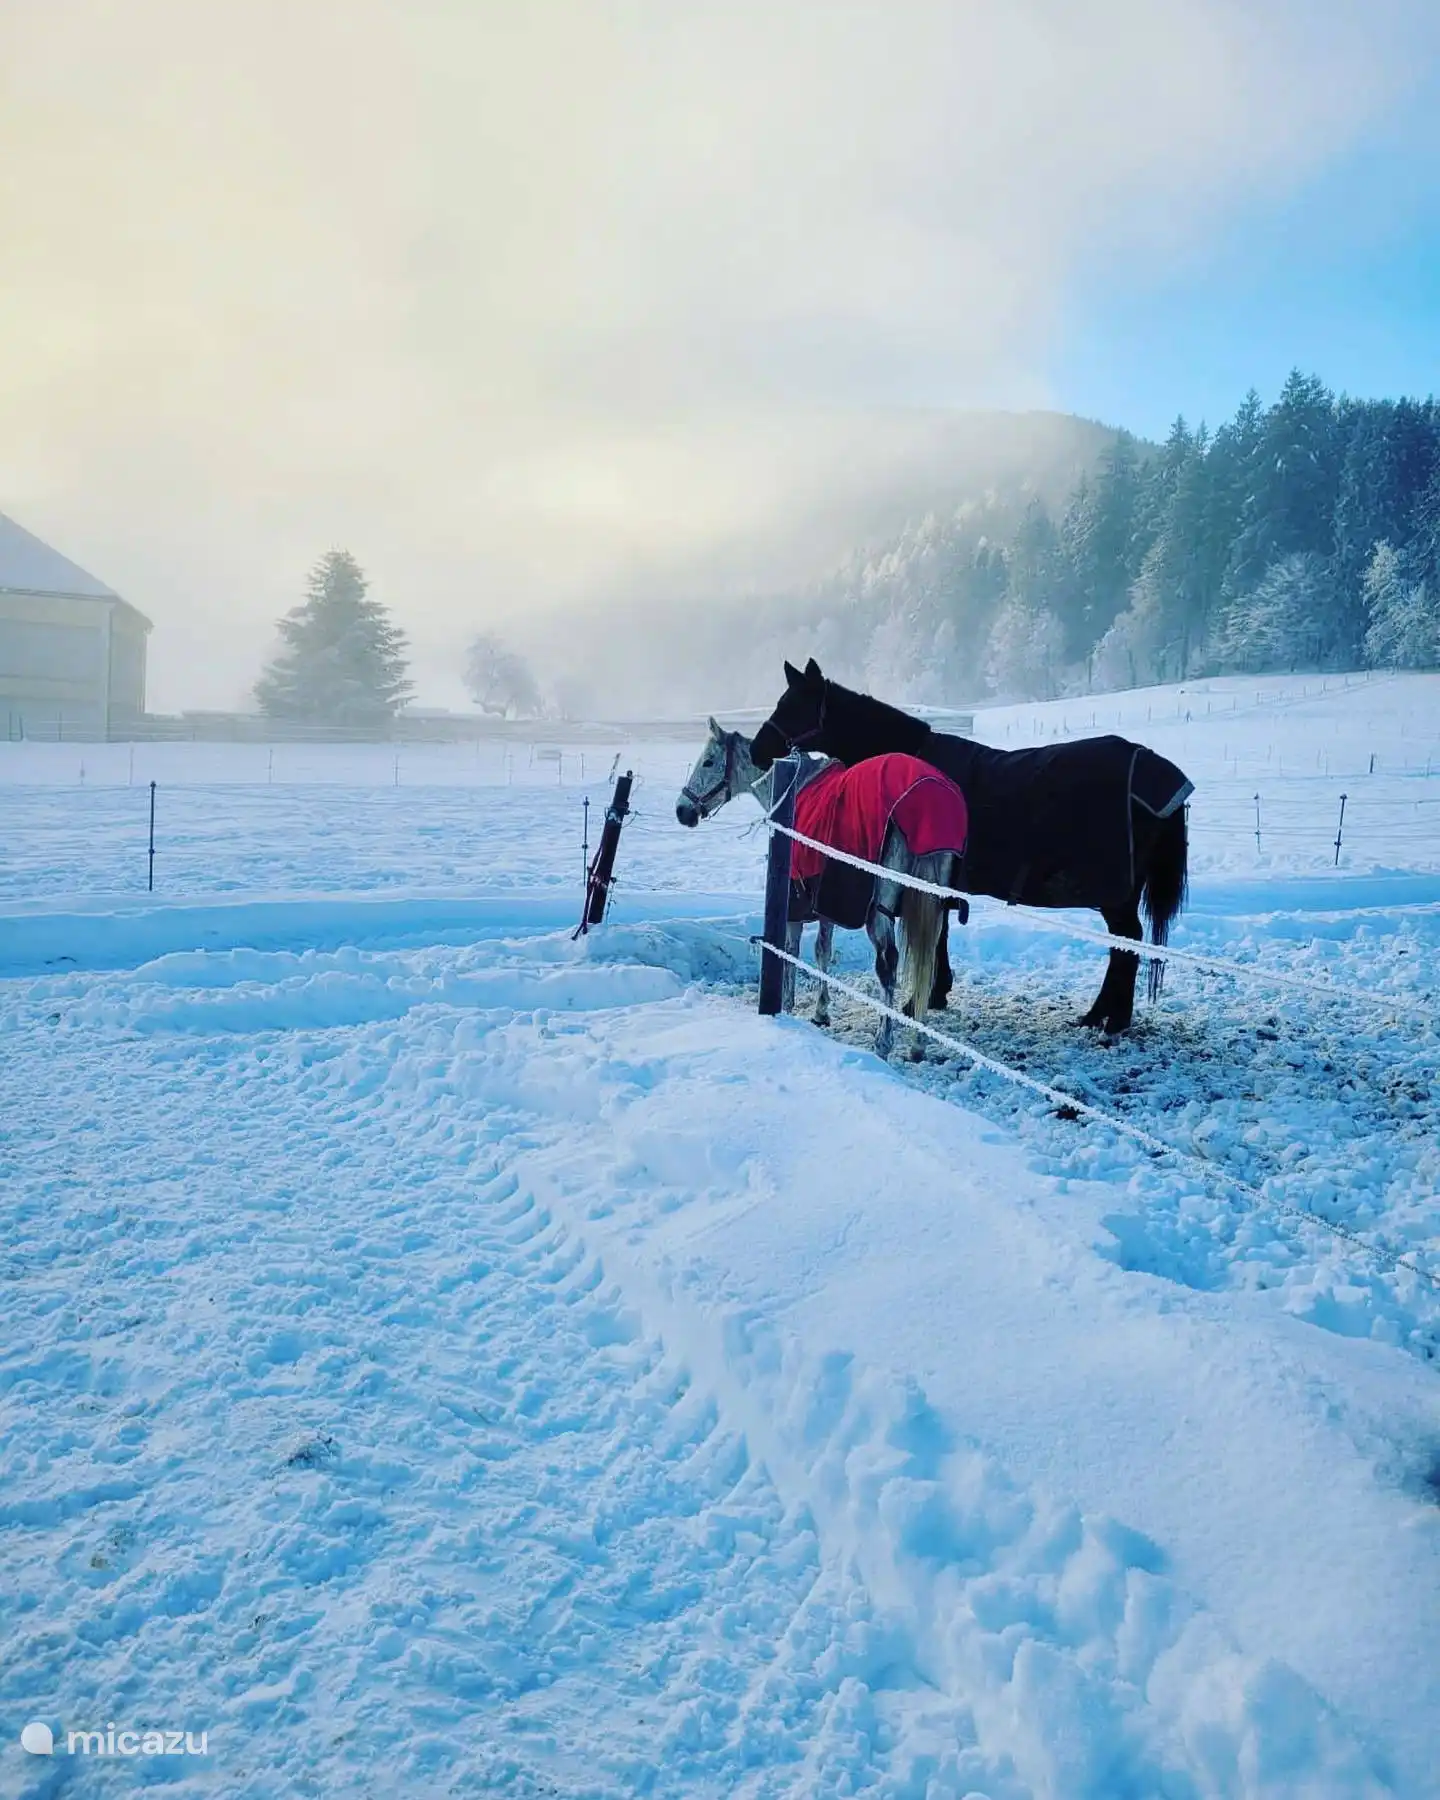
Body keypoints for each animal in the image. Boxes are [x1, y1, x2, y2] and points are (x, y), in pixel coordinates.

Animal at [676, 720, 969, 1060]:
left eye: (709, 761)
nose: (682, 810)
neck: (791, 791)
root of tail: (929, 796)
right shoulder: (826, 898)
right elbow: (823, 950)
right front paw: (821, 1011)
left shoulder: (795, 902)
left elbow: (790, 951)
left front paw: (787, 1005)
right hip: (930, 902)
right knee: (927, 961)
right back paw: (918, 1042)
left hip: (879, 910)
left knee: (888, 965)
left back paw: (883, 1043)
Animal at [749, 658, 1193, 1035]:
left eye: (794, 706)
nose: (756, 750)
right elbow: (941, 933)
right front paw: (935, 993)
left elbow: (936, 936)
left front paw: (921, 998)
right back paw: (1100, 1015)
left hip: (1116, 896)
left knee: (1126, 945)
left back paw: (1111, 1019)